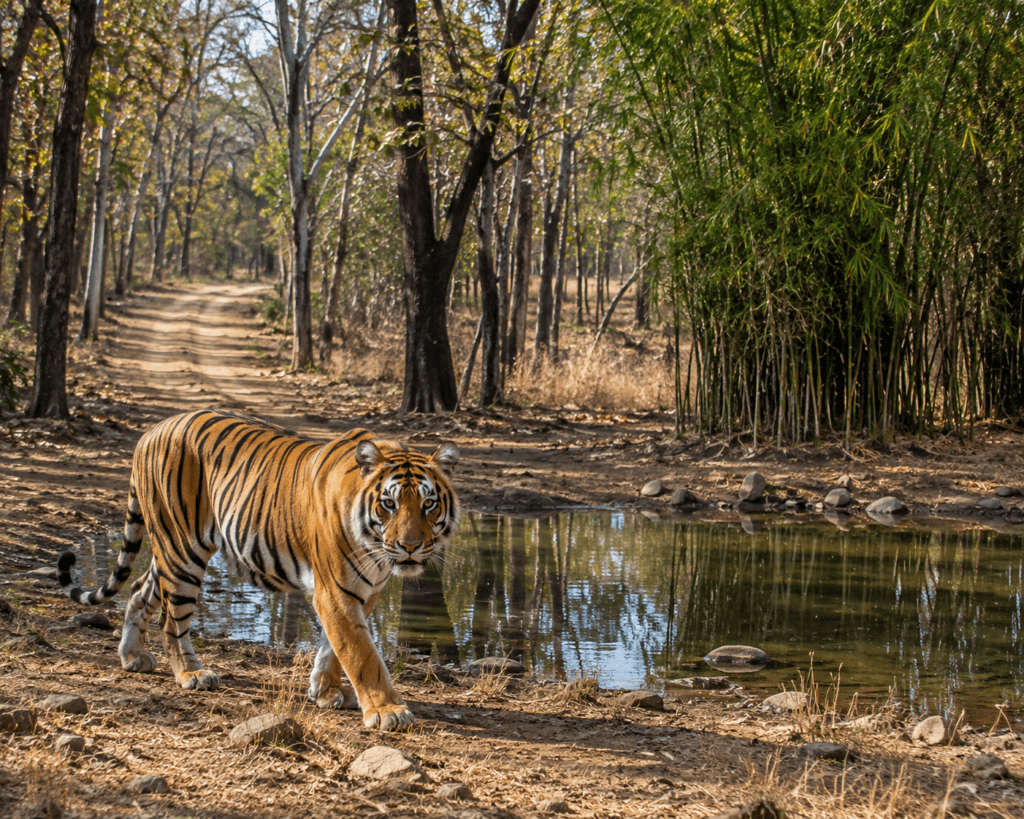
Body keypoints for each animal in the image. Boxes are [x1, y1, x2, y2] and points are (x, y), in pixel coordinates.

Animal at [57, 409, 460, 731]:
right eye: (389, 504)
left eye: (428, 504)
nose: (410, 546)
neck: (376, 550)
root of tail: (150, 432)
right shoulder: (335, 591)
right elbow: (363, 654)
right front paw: (388, 710)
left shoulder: (363, 592)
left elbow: (334, 647)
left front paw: (325, 690)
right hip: (182, 550)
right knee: (171, 620)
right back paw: (191, 674)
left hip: (169, 553)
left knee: (140, 590)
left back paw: (132, 657)